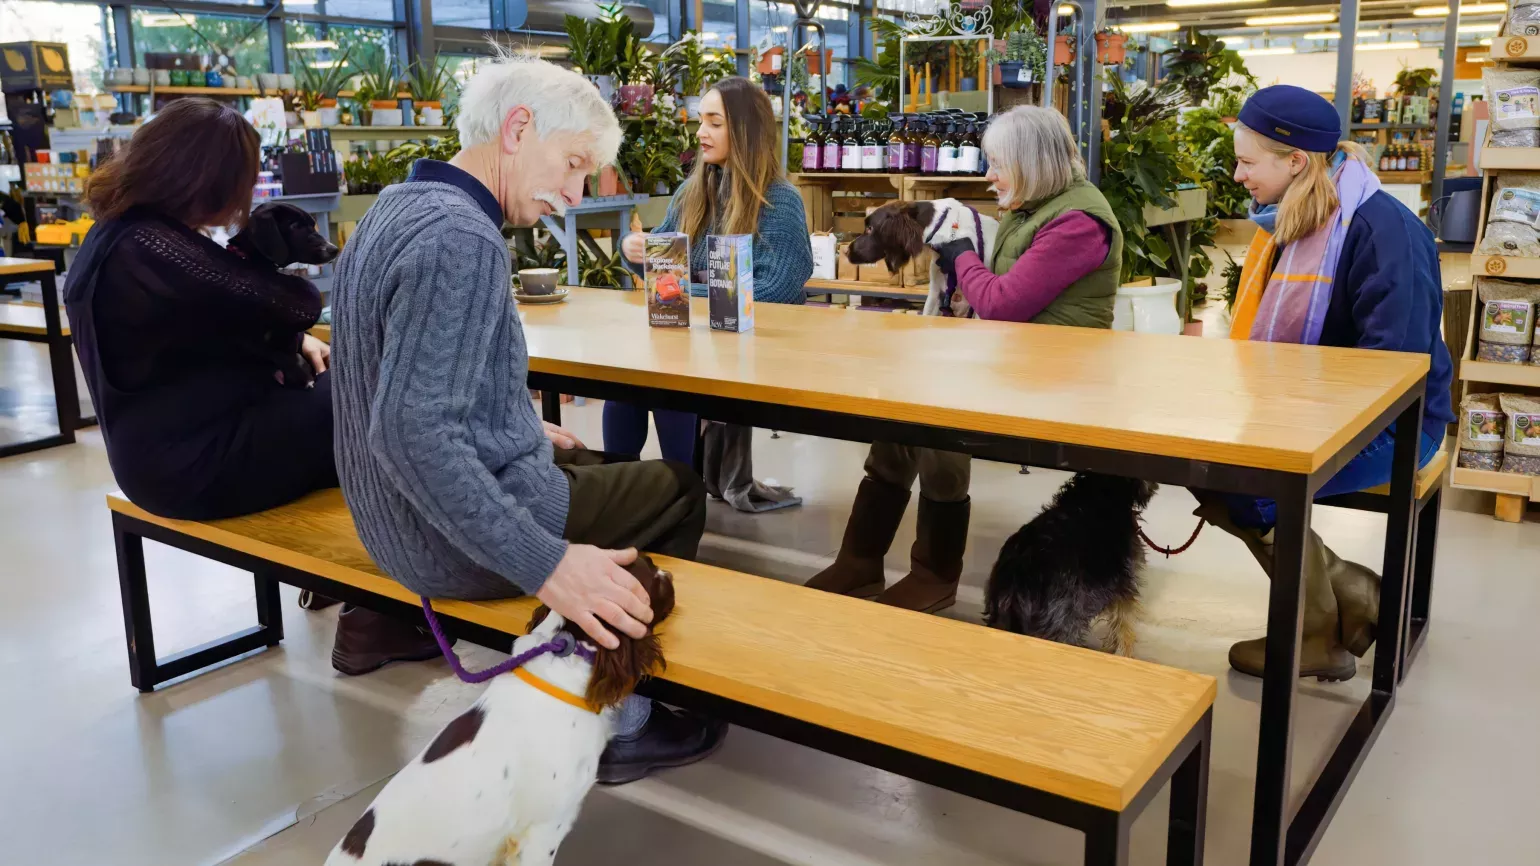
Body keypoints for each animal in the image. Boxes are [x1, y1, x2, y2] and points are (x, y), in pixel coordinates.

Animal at [985, 471, 1158, 653]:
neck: (1101, 490)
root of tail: (1018, 578)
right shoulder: (1123, 585)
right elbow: (1124, 626)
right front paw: (1122, 652)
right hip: (1062, 623)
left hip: (1003, 618)